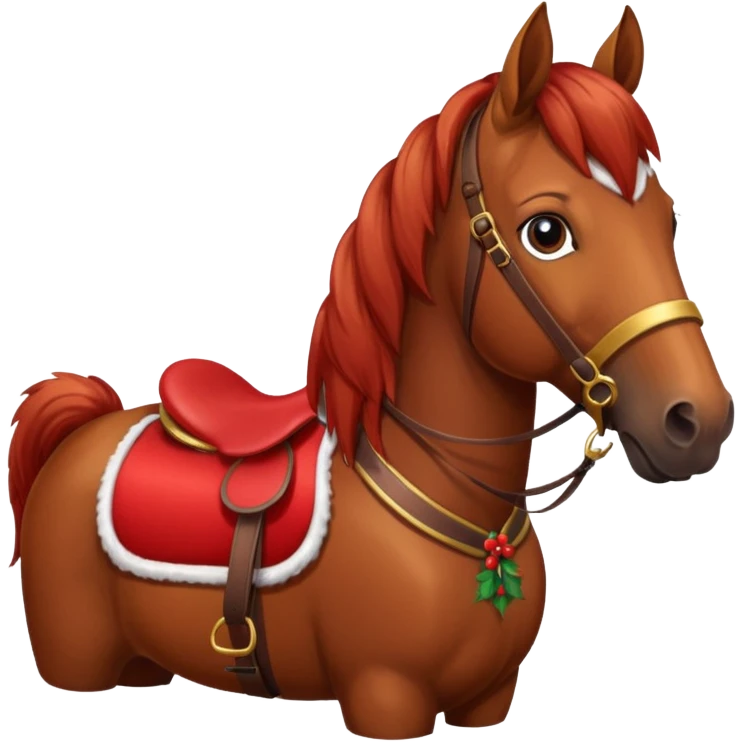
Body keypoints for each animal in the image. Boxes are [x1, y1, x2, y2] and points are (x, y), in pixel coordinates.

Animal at [7, 3, 734, 738]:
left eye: (666, 219)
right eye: (547, 232)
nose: (697, 420)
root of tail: (88, 427)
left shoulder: (488, 700)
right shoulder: (386, 699)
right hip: (78, 666)